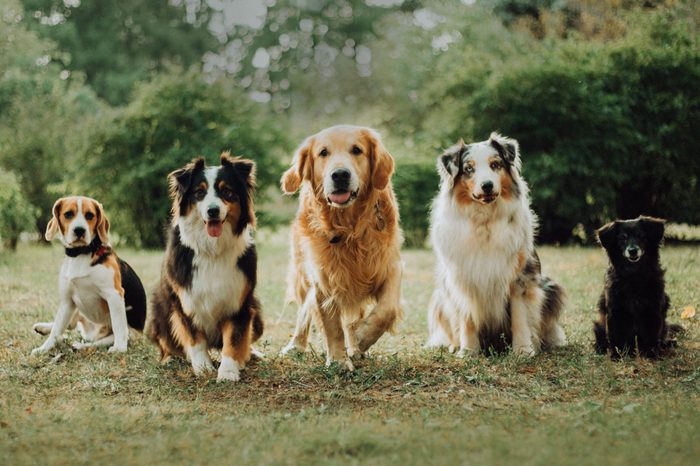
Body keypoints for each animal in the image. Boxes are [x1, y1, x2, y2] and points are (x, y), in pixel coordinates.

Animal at [31, 196, 146, 354]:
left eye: (90, 215)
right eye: (68, 214)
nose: (79, 230)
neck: (80, 254)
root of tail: (89, 333)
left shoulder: (114, 294)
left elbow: (118, 325)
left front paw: (119, 349)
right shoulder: (67, 301)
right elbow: (57, 329)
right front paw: (44, 348)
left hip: (124, 334)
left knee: (97, 341)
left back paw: (82, 346)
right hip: (75, 310)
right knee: (68, 325)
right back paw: (43, 327)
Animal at [145, 154, 262, 382]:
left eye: (227, 191)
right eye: (199, 193)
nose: (213, 211)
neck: (212, 250)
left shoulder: (239, 302)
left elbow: (234, 338)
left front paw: (228, 371)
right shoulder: (184, 300)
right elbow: (194, 338)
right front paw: (203, 368)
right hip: (159, 310)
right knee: (164, 341)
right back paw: (169, 358)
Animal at [424, 133, 568, 354]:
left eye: (495, 164)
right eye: (469, 169)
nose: (487, 185)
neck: (484, 222)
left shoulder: (520, 276)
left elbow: (520, 316)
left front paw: (523, 349)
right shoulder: (462, 278)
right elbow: (467, 317)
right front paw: (468, 351)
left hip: (551, 287)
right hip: (440, 298)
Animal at [592, 217, 680, 358]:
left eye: (641, 236)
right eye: (622, 238)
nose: (632, 250)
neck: (634, 275)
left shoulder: (653, 309)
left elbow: (652, 335)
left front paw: (651, 354)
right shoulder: (614, 310)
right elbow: (615, 336)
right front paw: (616, 355)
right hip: (598, 326)